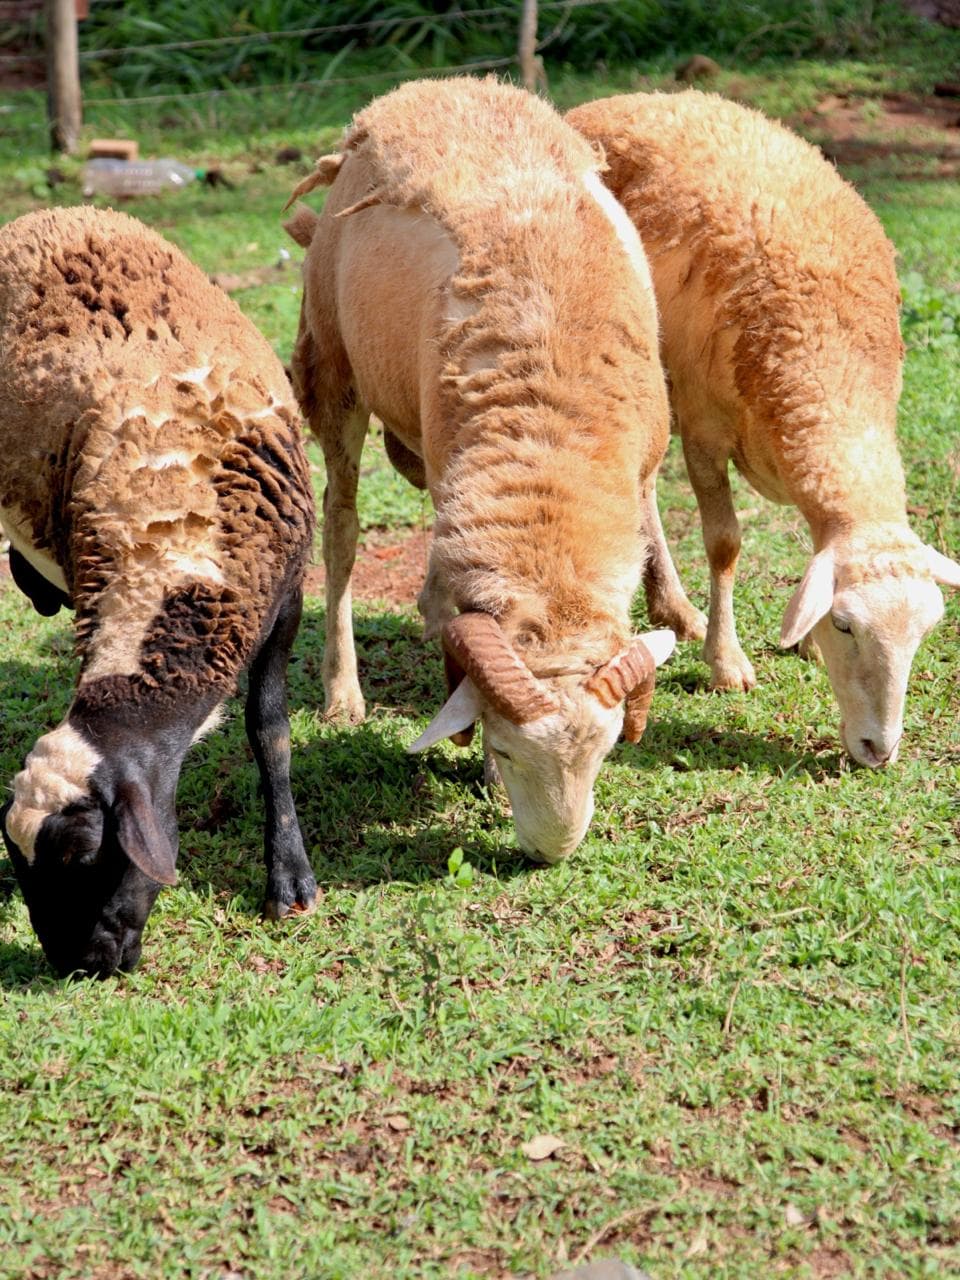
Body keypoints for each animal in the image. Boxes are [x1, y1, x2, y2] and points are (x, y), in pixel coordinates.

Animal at [0, 206, 317, 978]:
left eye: (86, 854)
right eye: (21, 869)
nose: (80, 965)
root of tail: (52, 213)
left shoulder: (286, 596)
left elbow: (270, 732)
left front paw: (289, 884)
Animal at [284, 76, 676, 863]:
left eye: (605, 754)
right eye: (507, 749)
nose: (551, 854)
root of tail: (435, 87)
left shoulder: (639, 465)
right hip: (335, 371)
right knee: (341, 531)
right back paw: (343, 693)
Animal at [567, 90, 960, 767]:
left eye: (927, 630)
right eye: (846, 625)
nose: (878, 750)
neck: (825, 360)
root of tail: (611, 102)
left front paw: (799, 639)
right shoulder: (703, 429)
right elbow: (724, 544)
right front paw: (726, 663)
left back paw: (675, 610)